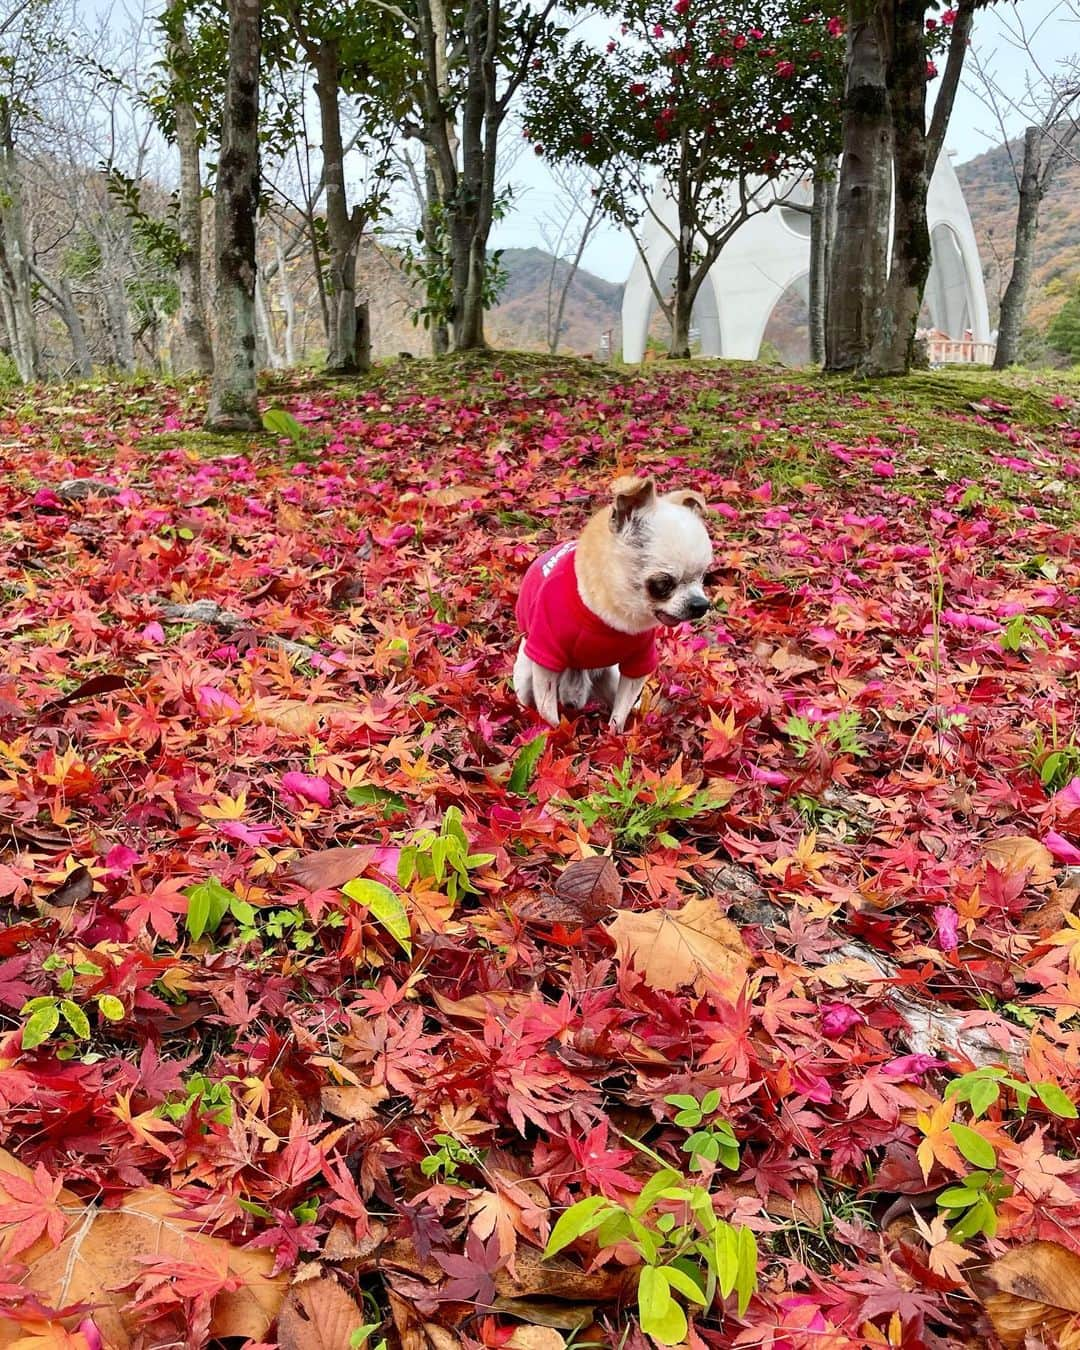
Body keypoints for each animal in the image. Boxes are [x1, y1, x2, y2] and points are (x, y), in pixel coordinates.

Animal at [513, 472, 712, 729]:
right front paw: (557, 735)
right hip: (525, 671)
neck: (614, 616)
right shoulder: (546, 659)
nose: (700, 604)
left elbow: (620, 713)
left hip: (609, 677)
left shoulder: (637, 665)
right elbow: (549, 713)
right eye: (662, 584)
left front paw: (615, 735)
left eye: (703, 577)